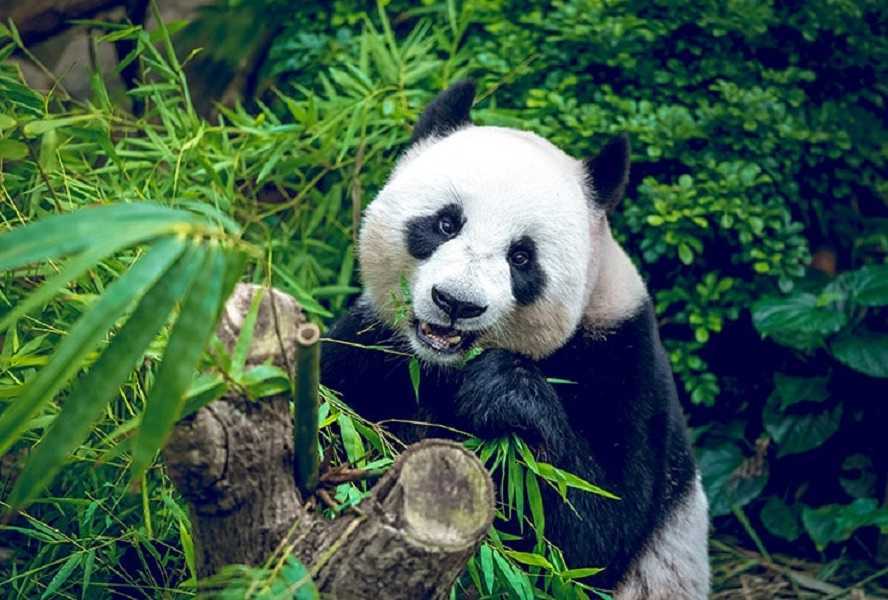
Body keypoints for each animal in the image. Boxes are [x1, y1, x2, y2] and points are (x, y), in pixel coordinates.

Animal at [321, 81, 710, 599]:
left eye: (522, 256)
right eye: (446, 223)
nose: (456, 303)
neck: (440, 368)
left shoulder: (624, 360)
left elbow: (587, 537)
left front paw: (501, 392)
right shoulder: (370, 345)